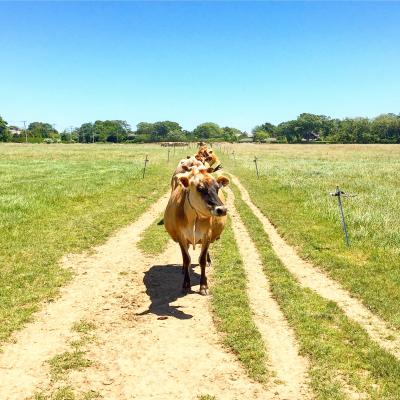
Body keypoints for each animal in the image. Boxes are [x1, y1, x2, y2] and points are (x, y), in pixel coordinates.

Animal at [164, 166, 230, 294]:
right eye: (200, 188)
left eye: (217, 188)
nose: (222, 210)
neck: (192, 217)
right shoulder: (181, 236)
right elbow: (186, 259)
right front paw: (186, 284)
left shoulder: (207, 235)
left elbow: (202, 259)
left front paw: (203, 285)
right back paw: (183, 268)